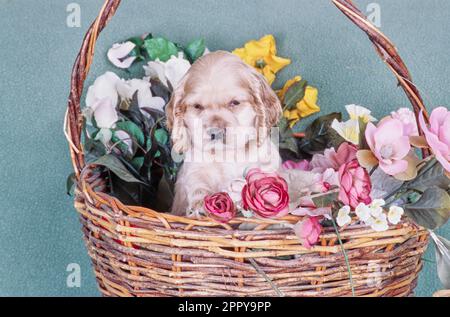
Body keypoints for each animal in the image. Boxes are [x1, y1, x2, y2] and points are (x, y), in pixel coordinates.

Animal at [166, 51, 282, 215]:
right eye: (197, 106)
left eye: (234, 103)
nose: (215, 132)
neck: (227, 154)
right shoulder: (194, 168)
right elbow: (197, 183)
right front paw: (199, 205)